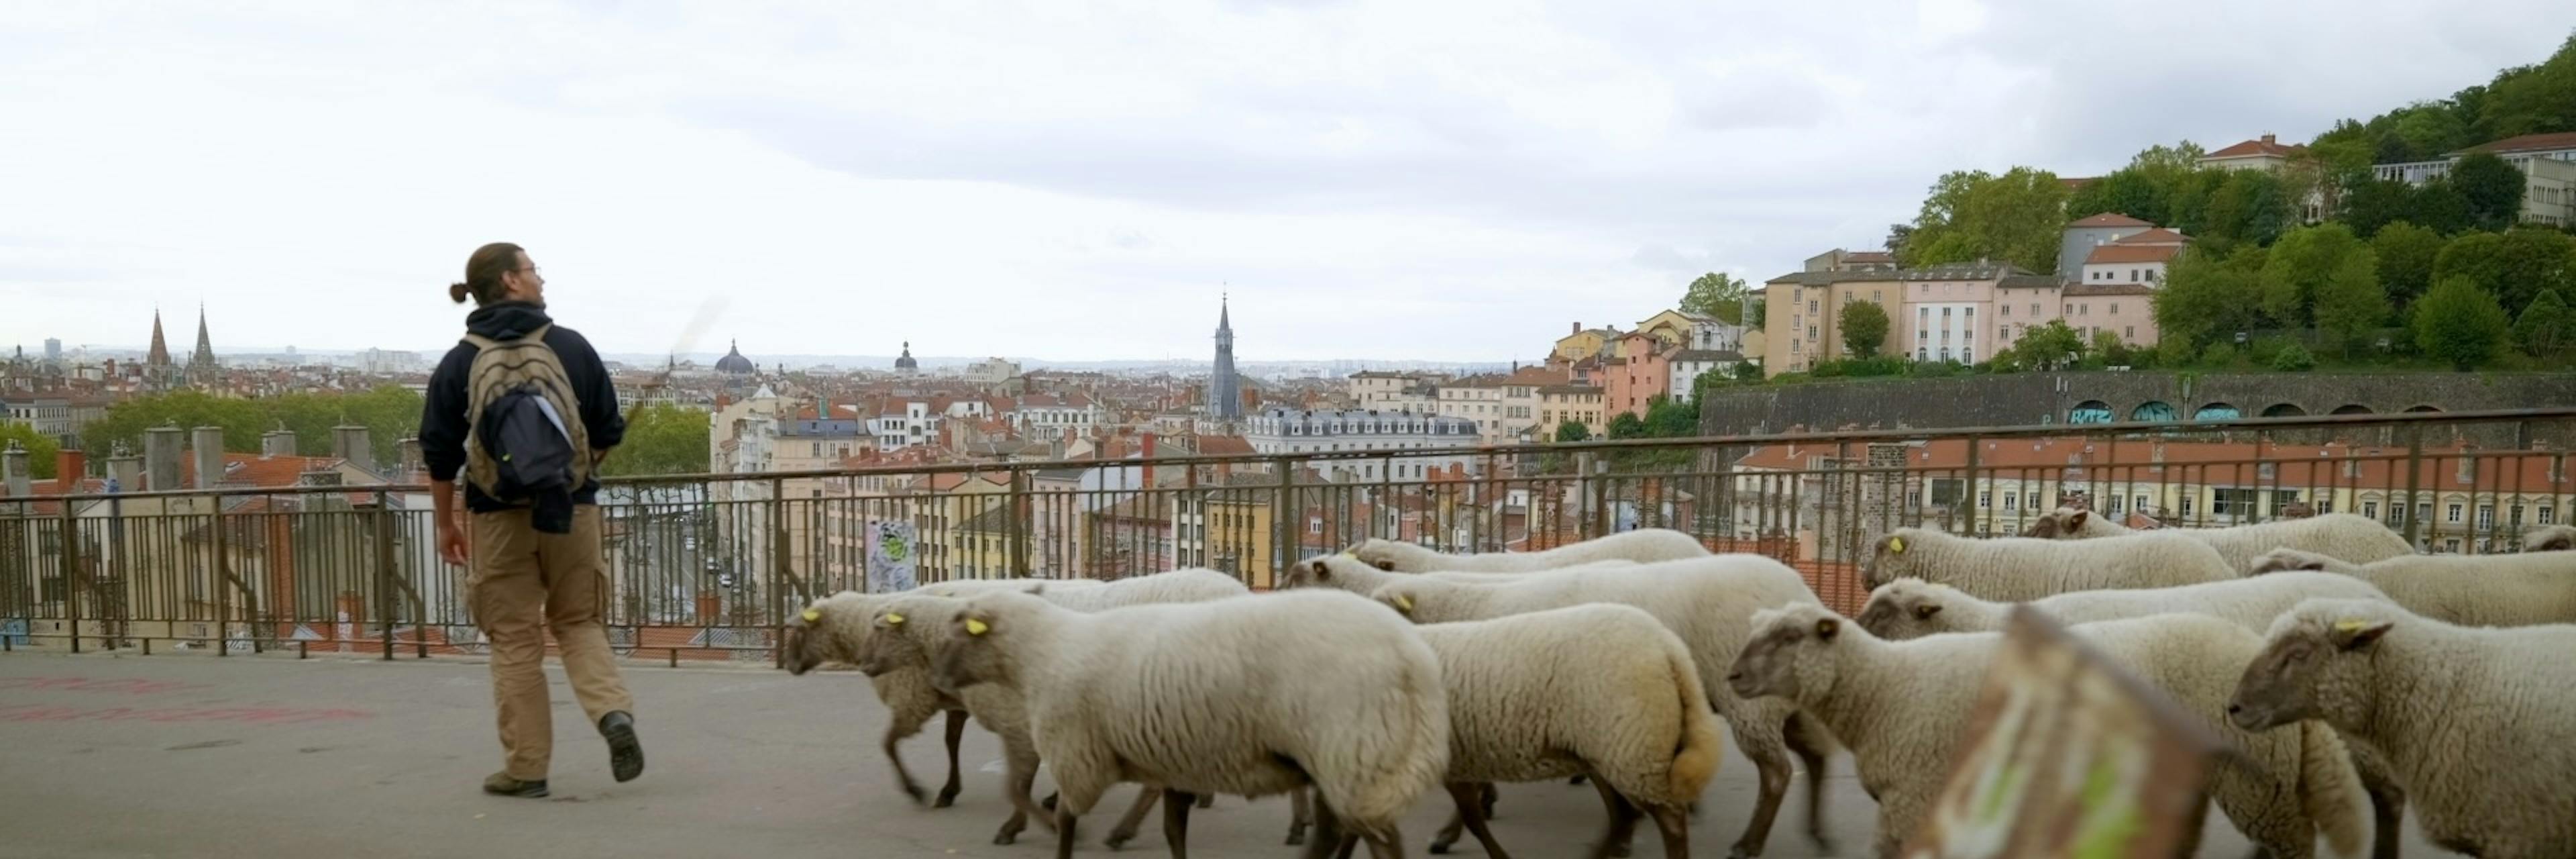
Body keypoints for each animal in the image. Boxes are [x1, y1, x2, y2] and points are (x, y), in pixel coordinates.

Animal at [932, 588, 1450, 859]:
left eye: (960, 629)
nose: (940, 681)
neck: (1042, 651)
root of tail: (1415, 660)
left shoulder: (1078, 754)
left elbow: (1064, 819)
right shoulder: (1172, 761)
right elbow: (1172, 829)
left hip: (1351, 748)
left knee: (1376, 837)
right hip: (1350, 760)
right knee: (1342, 830)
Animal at [1367, 555, 1839, 859]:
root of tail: (1801, 591)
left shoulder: (1495, 711)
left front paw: (1450, 831)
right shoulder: (1495, 714)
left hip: (1751, 701)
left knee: (1777, 772)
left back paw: (1749, 844)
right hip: (1783, 698)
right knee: (1813, 756)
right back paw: (1818, 833)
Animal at [1730, 604, 2374, 859]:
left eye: (1790, 637)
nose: (1732, 675)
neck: (1884, 687)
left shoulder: (1911, 798)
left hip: (2255, 774)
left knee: (2294, 838)